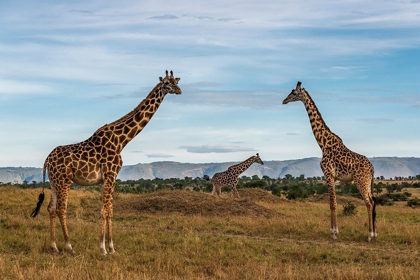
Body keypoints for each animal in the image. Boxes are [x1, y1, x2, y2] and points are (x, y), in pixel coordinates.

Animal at [32, 70, 183, 254]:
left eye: (176, 81)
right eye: (167, 83)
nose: (179, 91)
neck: (121, 141)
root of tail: (47, 159)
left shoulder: (111, 177)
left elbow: (110, 210)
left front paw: (112, 247)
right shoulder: (110, 175)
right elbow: (104, 210)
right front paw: (103, 248)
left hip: (54, 181)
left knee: (51, 208)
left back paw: (54, 246)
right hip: (64, 180)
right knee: (61, 209)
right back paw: (69, 246)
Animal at [282, 82, 378, 242]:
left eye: (294, 93)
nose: (284, 101)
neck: (323, 144)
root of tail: (372, 168)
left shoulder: (328, 174)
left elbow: (332, 203)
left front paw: (334, 233)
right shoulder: (332, 176)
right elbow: (332, 202)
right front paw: (334, 231)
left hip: (360, 180)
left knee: (369, 202)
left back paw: (369, 235)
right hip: (367, 182)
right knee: (374, 201)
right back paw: (375, 233)